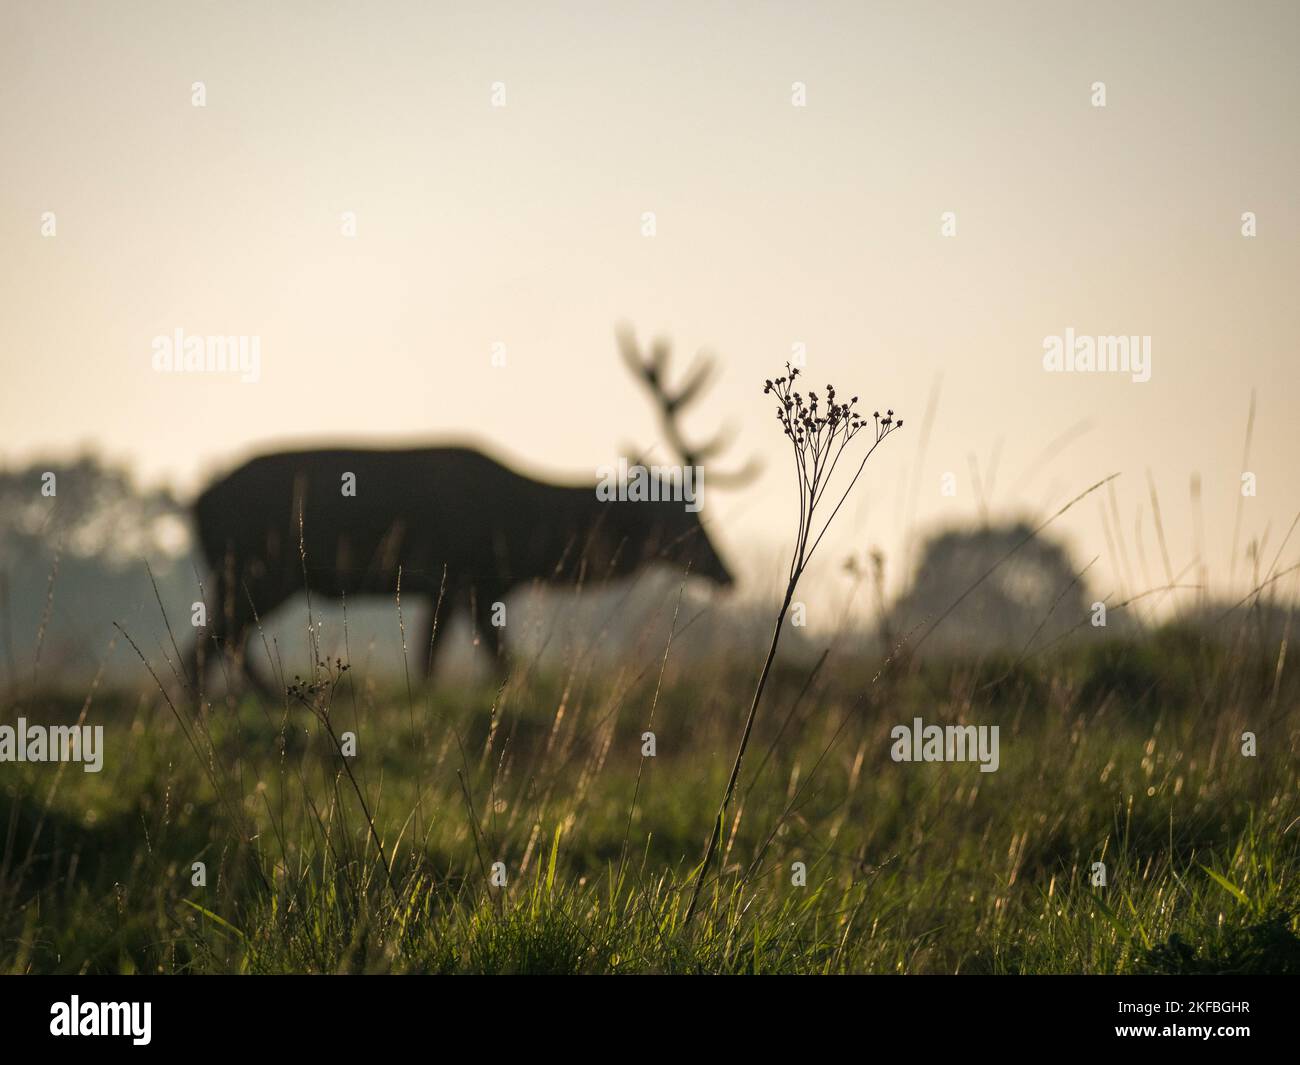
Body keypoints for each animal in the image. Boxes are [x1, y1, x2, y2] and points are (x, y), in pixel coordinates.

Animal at [186, 328, 752, 697]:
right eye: (683, 518)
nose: (730, 574)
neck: (522, 537)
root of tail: (195, 503)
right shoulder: (465, 575)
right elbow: (490, 661)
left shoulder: (452, 586)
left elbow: (437, 660)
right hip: (259, 566)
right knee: (210, 646)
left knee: (217, 644)